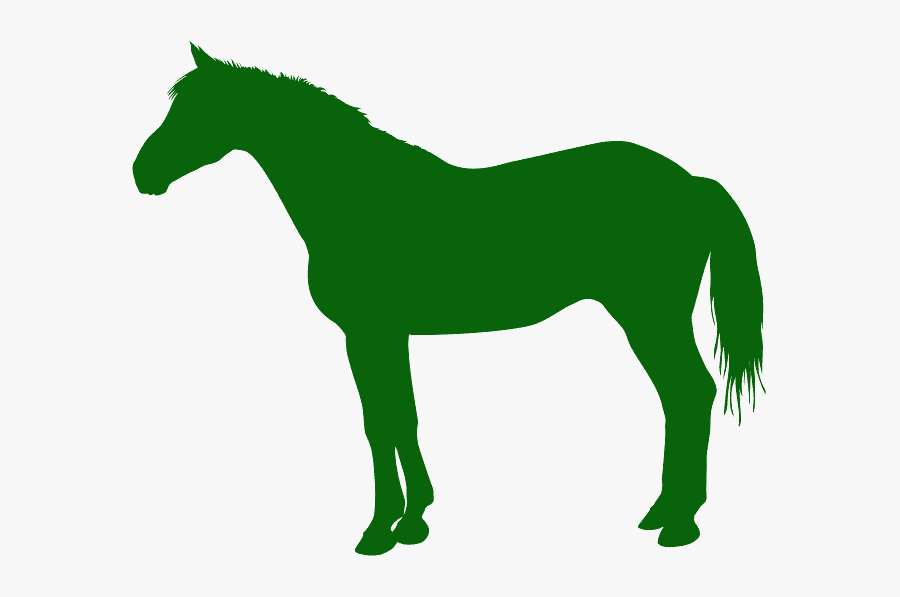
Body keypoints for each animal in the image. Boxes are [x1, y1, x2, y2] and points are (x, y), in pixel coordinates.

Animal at [133, 43, 765, 556]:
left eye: (199, 110)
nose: (143, 172)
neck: (358, 197)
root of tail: (693, 182)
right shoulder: (389, 335)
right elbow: (401, 417)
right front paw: (414, 520)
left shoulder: (367, 333)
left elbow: (381, 422)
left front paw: (380, 529)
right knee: (678, 398)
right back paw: (661, 512)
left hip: (650, 317)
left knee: (690, 393)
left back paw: (680, 524)